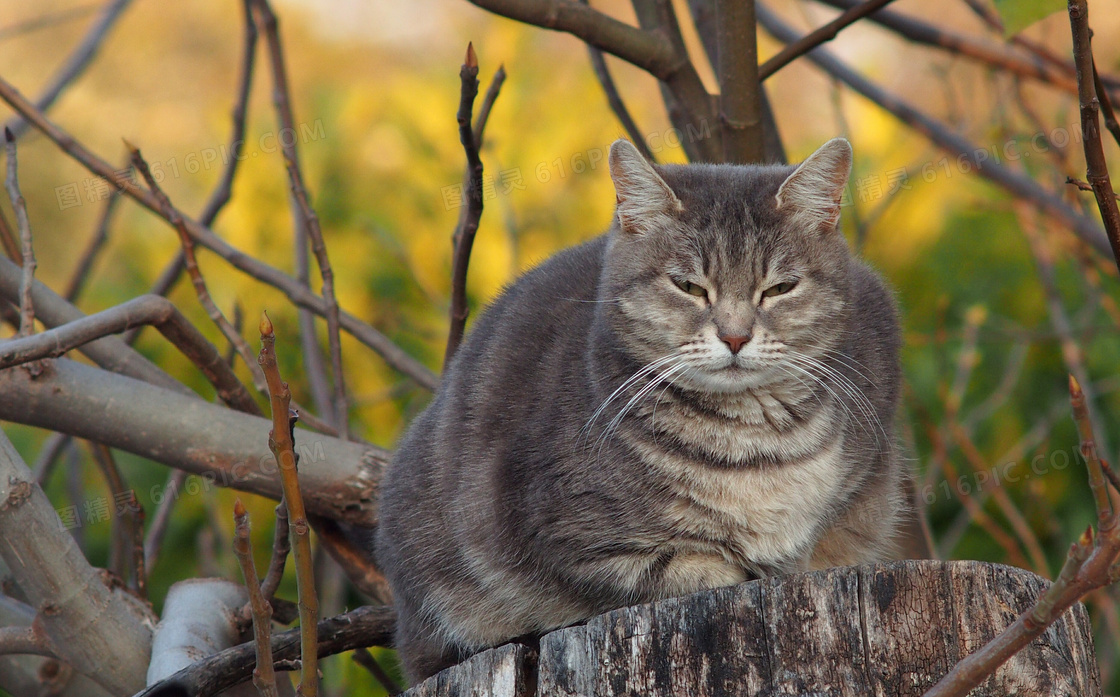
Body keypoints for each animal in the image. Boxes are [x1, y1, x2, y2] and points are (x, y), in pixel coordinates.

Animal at [376, 139, 909, 685]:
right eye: (688, 286)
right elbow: (684, 569)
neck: (752, 443)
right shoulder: (567, 537)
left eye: (780, 288)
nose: (735, 336)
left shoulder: (863, 491)